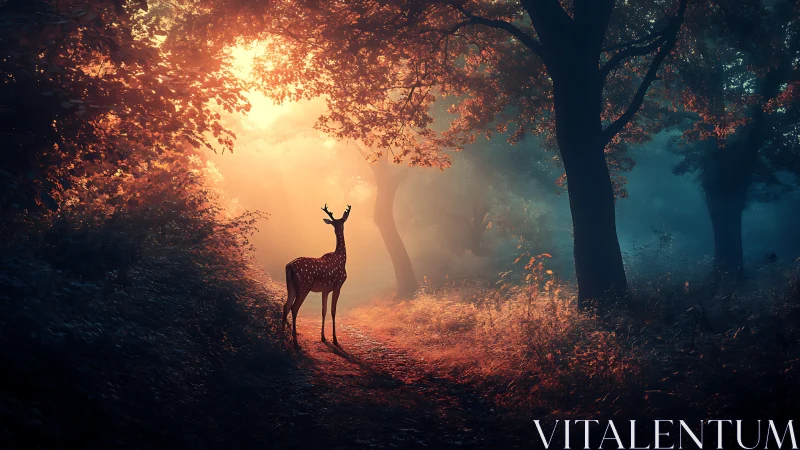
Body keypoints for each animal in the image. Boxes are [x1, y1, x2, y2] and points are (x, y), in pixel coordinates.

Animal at [283, 204, 351, 347]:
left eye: (340, 222)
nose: (341, 227)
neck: (342, 258)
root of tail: (289, 266)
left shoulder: (325, 290)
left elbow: (323, 311)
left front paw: (323, 337)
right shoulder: (338, 285)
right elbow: (333, 311)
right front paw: (335, 339)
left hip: (290, 287)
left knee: (285, 306)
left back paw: (280, 337)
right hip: (304, 286)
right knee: (294, 307)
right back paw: (295, 342)